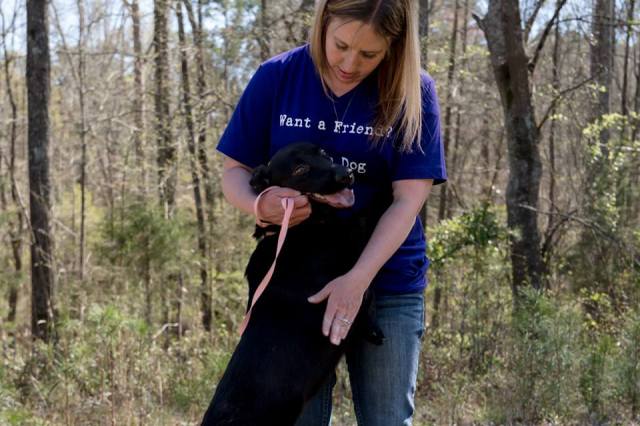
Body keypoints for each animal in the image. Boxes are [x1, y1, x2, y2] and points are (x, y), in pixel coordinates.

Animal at [202, 142, 389, 425]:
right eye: (300, 169)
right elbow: (366, 218)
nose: (345, 174)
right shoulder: (344, 254)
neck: (296, 230)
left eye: (324, 154)